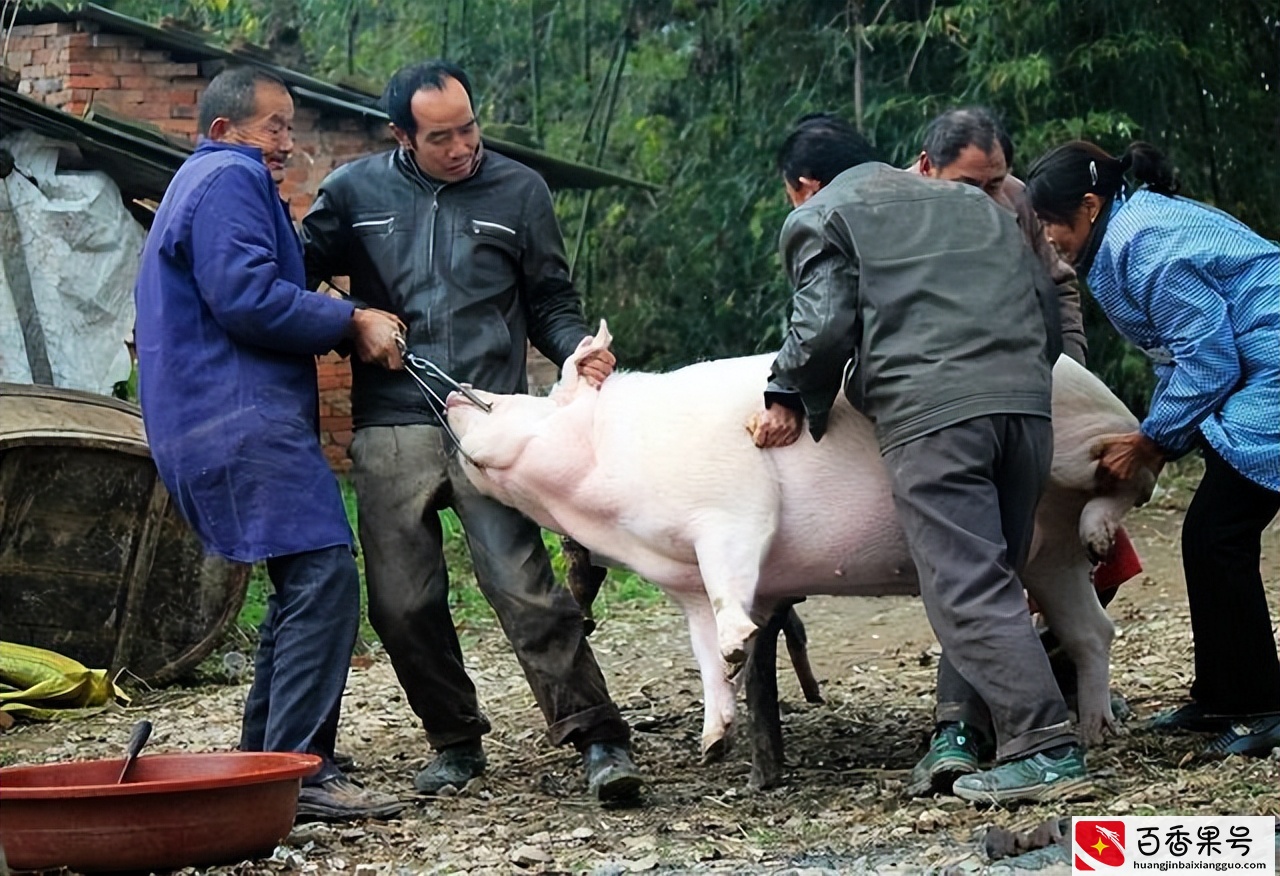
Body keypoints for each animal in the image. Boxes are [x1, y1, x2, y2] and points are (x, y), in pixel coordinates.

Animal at [445, 320, 1157, 773]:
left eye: (520, 398)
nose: (452, 391)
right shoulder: (681, 578)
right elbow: (701, 647)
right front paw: (712, 743)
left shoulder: (731, 510)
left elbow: (733, 578)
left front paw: (740, 642)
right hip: (1047, 555)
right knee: (1092, 630)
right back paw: (1098, 728)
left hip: (1078, 445)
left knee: (1136, 469)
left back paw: (1104, 522)